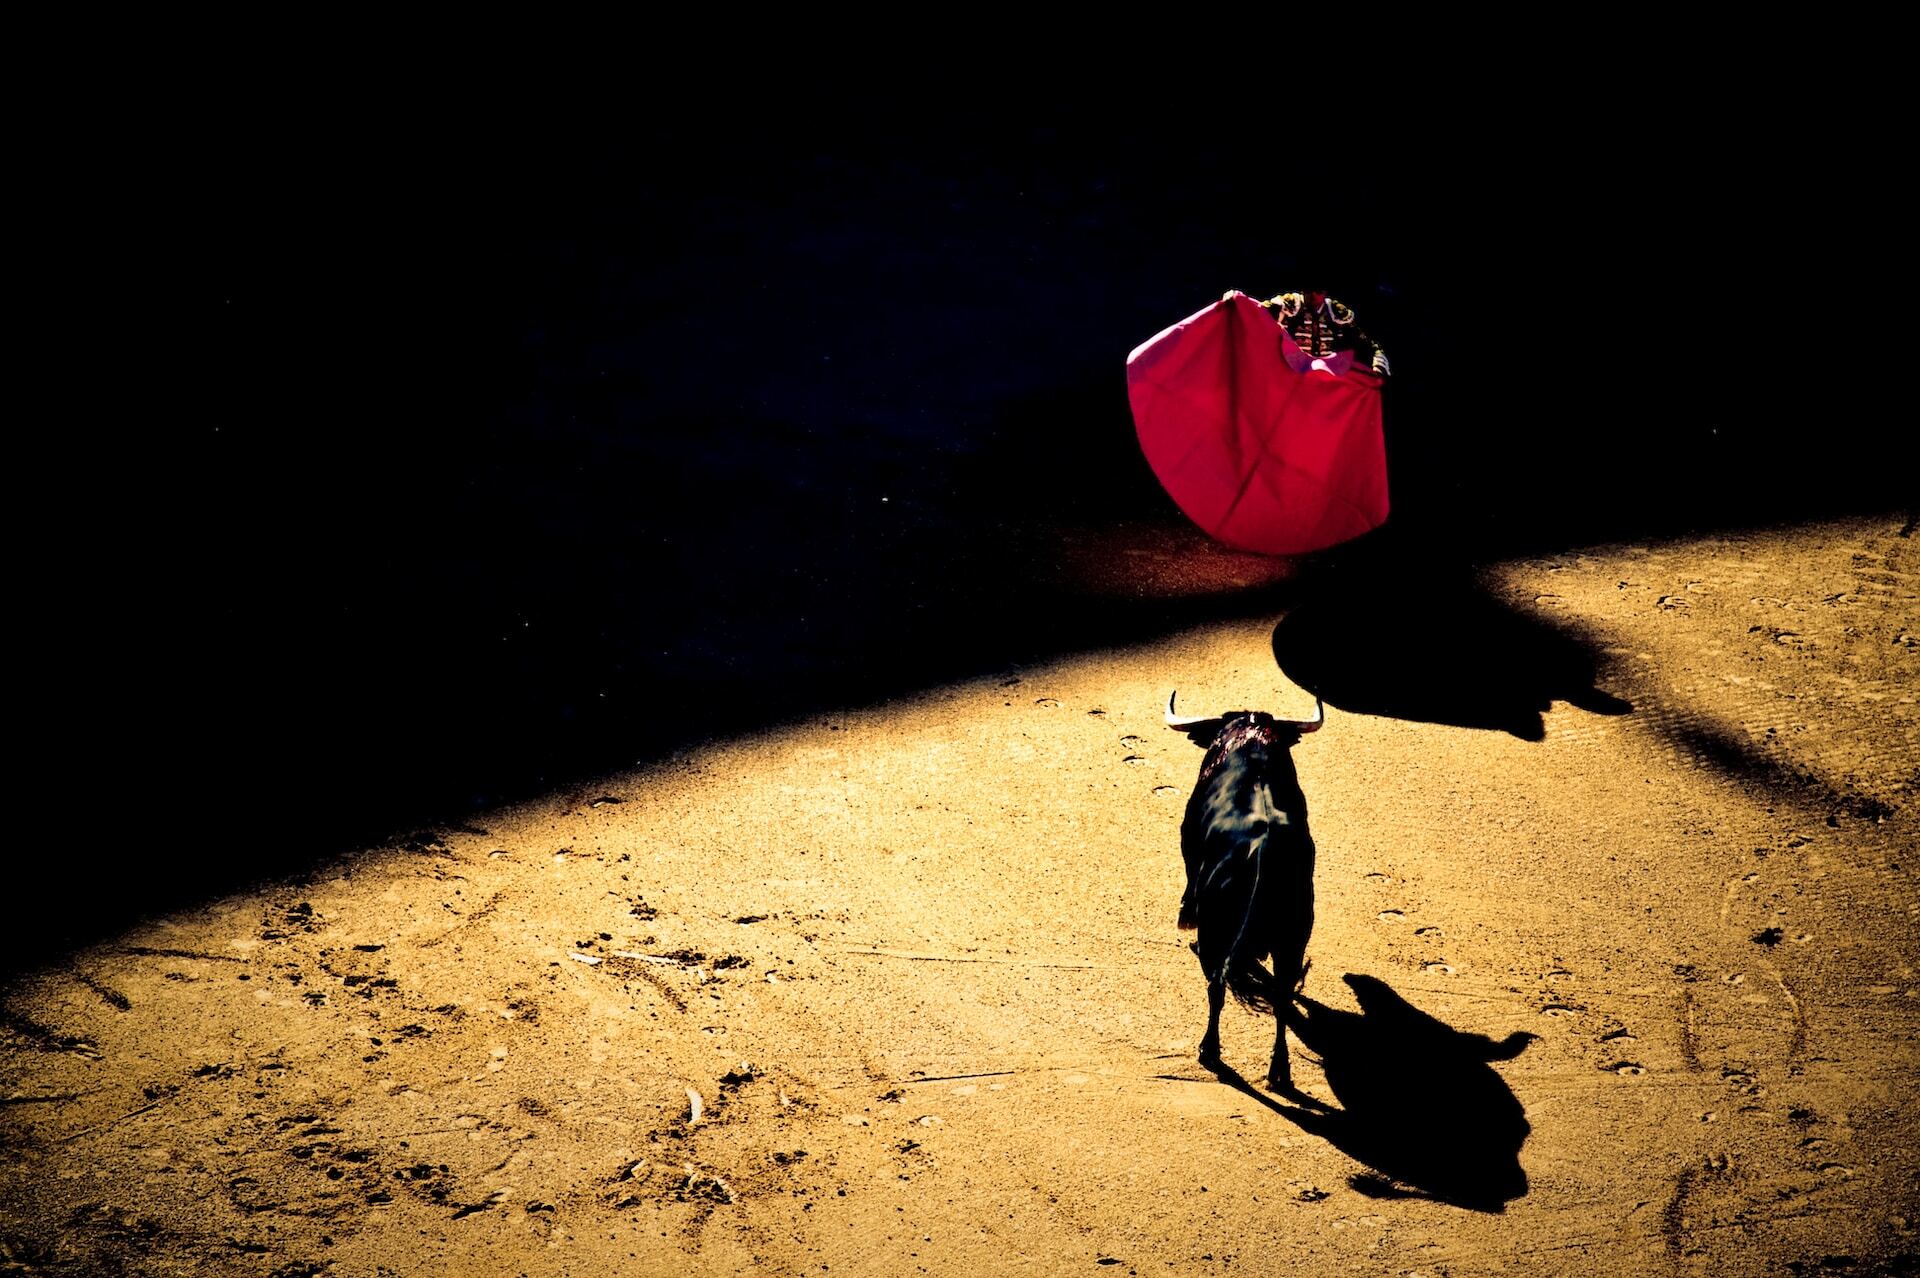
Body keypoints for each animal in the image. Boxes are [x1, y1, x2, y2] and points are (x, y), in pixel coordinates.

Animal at [1166, 690, 1323, 1093]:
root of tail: (1264, 847)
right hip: (1293, 937)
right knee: (1282, 996)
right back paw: (1279, 1070)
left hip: (1218, 931)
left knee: (1217, 986)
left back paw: (1209, 1051)